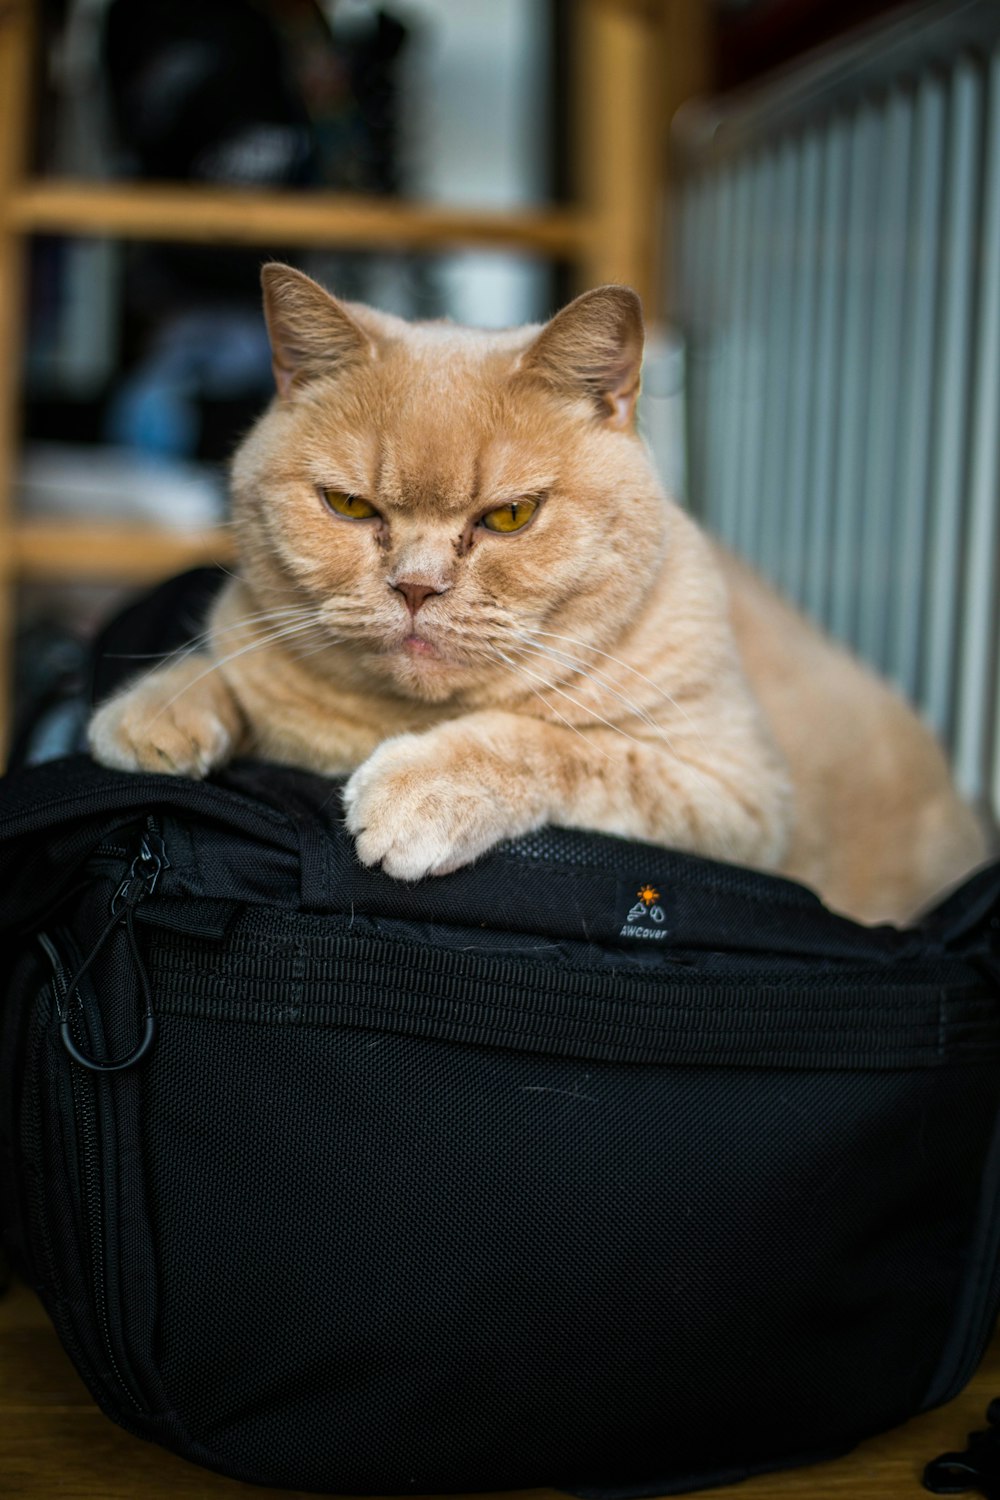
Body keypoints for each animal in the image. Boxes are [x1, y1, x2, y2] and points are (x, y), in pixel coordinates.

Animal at [89, 270, 989, 924]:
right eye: (350, 507)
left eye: (509, 517)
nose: (416, 586)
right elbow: (218, 666)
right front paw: (152, 713)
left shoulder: (737, 795)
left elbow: (552, 743)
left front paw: (418, 791)